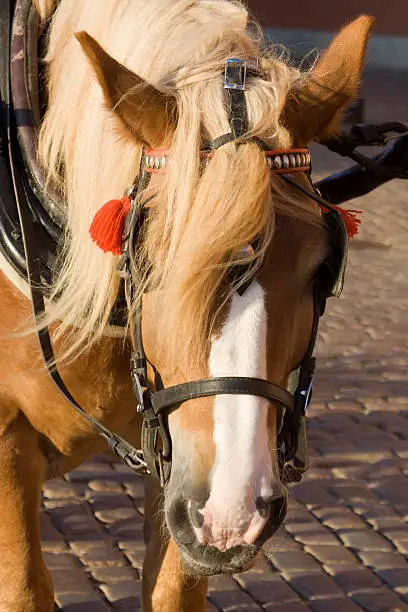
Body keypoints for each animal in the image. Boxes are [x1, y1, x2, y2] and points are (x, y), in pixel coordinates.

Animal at [0, 2, 372, 608]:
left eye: (322, 267)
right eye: (146, 255)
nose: (232, 511)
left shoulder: (175, 451)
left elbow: (172, 588)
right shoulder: (6, 439)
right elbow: (25, 587)